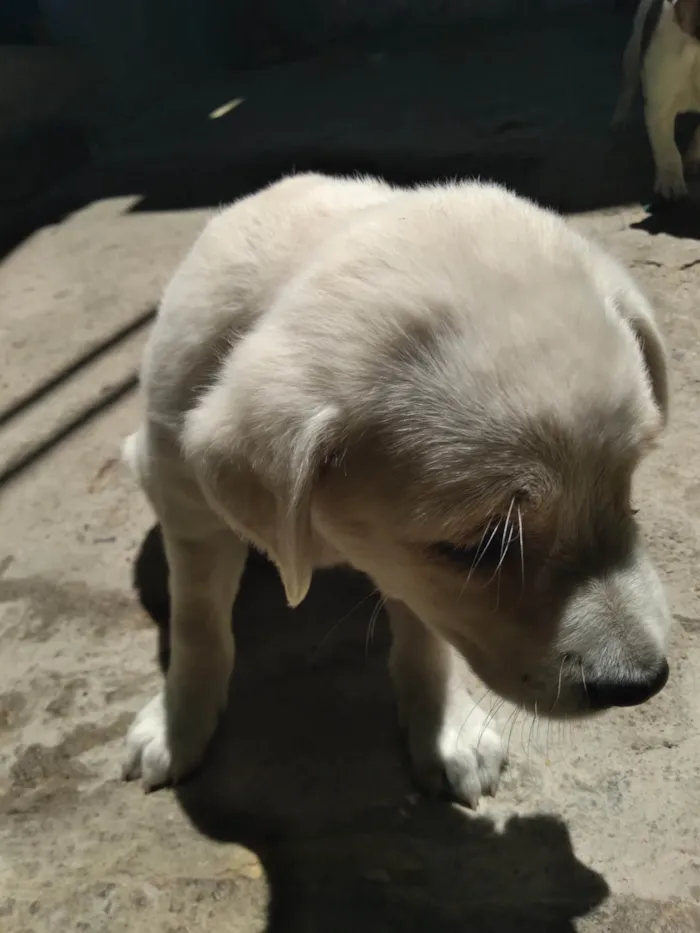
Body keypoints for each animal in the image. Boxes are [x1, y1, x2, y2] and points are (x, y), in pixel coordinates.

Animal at [121, 175, 672, 808]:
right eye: (480, 548)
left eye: (626, 486)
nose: (643, 684)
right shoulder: (189, 508)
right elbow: (198, 624)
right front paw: (177, 725)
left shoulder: (406, 567)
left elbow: (425, 635)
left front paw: (446, 731)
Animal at [612, 0, 700, 197]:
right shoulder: (659, 105)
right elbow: (667, 146)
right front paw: (671, 180)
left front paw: (694, 160)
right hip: (632, 54)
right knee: (627, 88)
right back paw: (619, 120)